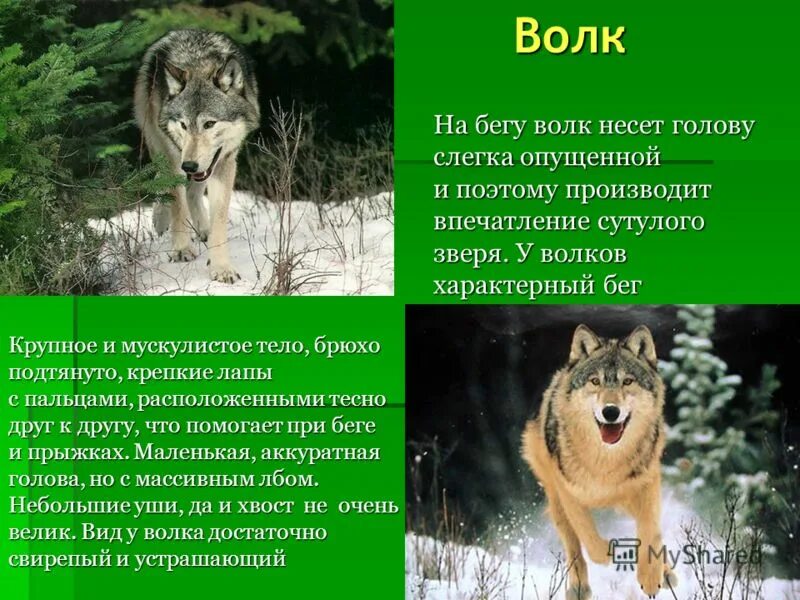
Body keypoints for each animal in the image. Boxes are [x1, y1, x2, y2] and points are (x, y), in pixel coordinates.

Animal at [134, 29, 260, 283]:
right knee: (165, 183)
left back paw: (203, 228)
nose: (189, 166)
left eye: (209, 124)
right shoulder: (174, 160)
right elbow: (178, 205)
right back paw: (161, 218)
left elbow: (218, 218)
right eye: (183, 124)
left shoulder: (224, 163)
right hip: (157, 141)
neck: (199, 63)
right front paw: (181, 248)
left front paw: (221, 267)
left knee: (193, 192)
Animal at [521, 325, 678, 600]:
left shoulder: (647, 483)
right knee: (573, 547)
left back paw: (666, 573)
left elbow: (651, 530)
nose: (610, 412)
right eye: (595, 381)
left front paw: (650, 577)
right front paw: (612, 552)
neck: (605, 463)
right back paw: (578, 589)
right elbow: (589, 538)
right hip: (556, 503)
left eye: (627, 381)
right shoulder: (569, 493)